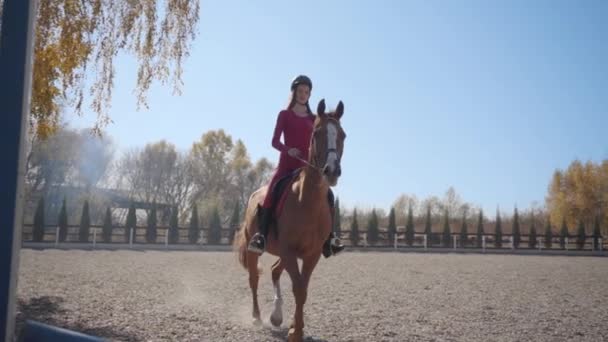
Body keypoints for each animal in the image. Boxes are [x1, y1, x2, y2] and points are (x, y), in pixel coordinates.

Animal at [234, 98, 346, 340]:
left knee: (275, 271)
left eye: (342, 135)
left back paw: (276, 316)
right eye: (317, 133)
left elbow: (303, 288)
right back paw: (257, 317)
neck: (308, 202)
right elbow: (298, 288)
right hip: (257, 250)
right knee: (254, 279)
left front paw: (296, 326)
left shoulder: (312, 254)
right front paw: (296, 331)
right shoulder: (289, 250)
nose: (332, 171)